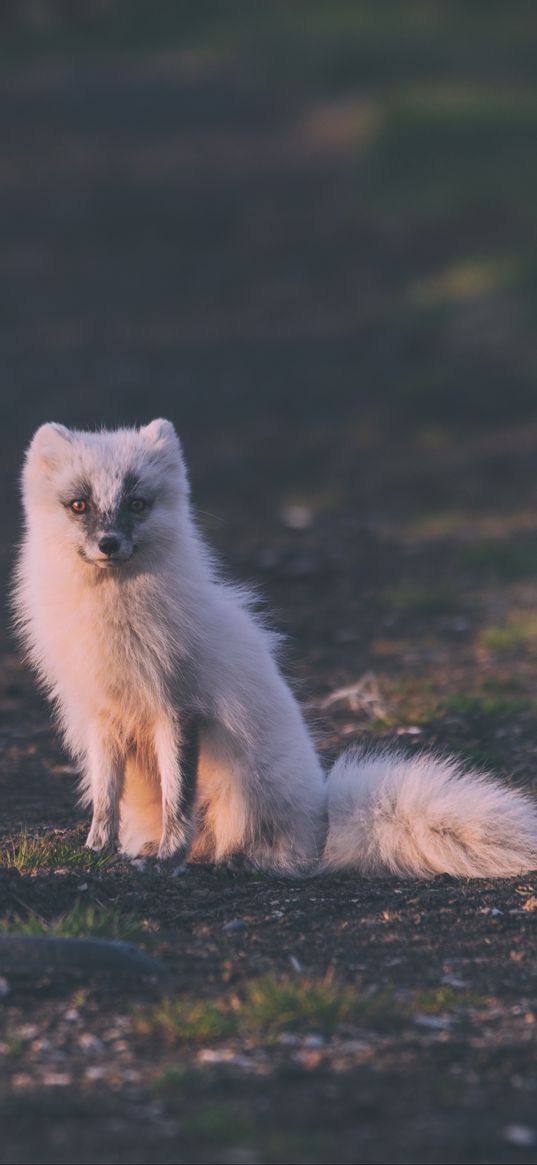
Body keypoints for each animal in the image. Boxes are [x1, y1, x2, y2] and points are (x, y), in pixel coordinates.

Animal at [10, 419, 535, 876]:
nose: (109, 543)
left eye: (137, 504)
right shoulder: (102, 716)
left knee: (264, 852)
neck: (109, 620)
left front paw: (167, 860)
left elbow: (177, 800)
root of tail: (322, 825)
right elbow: (105, 797)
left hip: (243, 791)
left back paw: (227, 860)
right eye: (79, 505)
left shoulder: (177, 707)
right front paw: (98, 850)